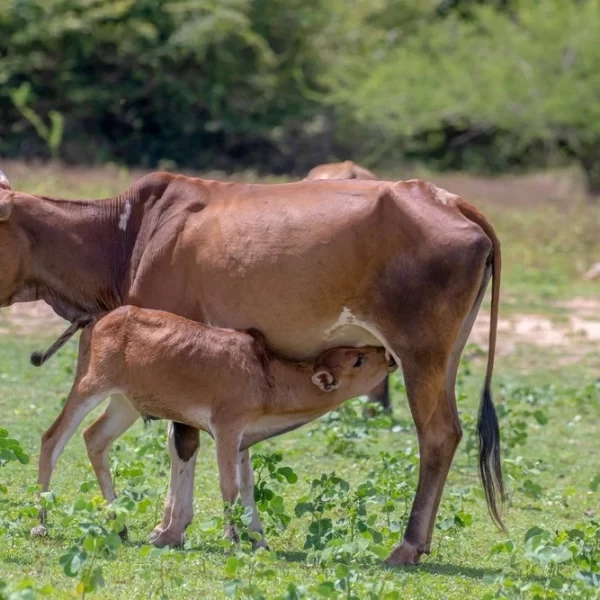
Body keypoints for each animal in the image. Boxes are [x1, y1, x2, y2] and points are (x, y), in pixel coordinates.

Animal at [28, 308, 394, 548]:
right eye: (358, 360)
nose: (387, 354)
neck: (264, 375)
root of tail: (98, 318)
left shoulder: (244, 438)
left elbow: (247, 485)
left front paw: (258, 539)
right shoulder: (226, 430)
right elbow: (228, 486)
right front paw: (234, 538)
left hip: (124, 404)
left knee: (95, 439)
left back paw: (119, 526)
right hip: (89, 387)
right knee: (52, 440)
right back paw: (41, 524)